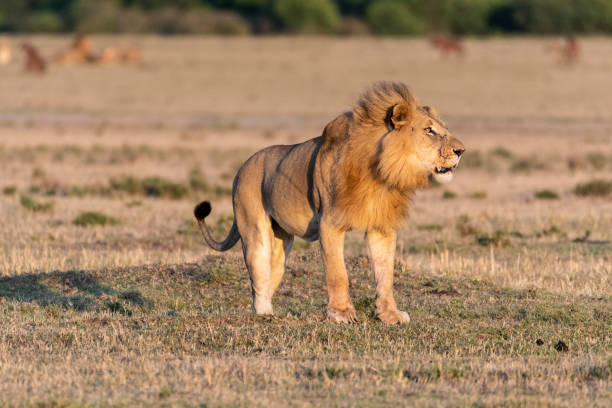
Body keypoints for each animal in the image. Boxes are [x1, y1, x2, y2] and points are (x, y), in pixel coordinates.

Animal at [194, 82, 466, 326]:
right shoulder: (330, 223)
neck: (382, 173)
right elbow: (338, 273)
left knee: (270, 276)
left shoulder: (382, 227)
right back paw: (265, 314)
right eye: (429, 130)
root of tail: (242, 168)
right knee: (258, 279)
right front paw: (341, 314)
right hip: (254, 232)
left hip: (281, 244)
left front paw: (389, 315)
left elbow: (385, 275)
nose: (461, 151)